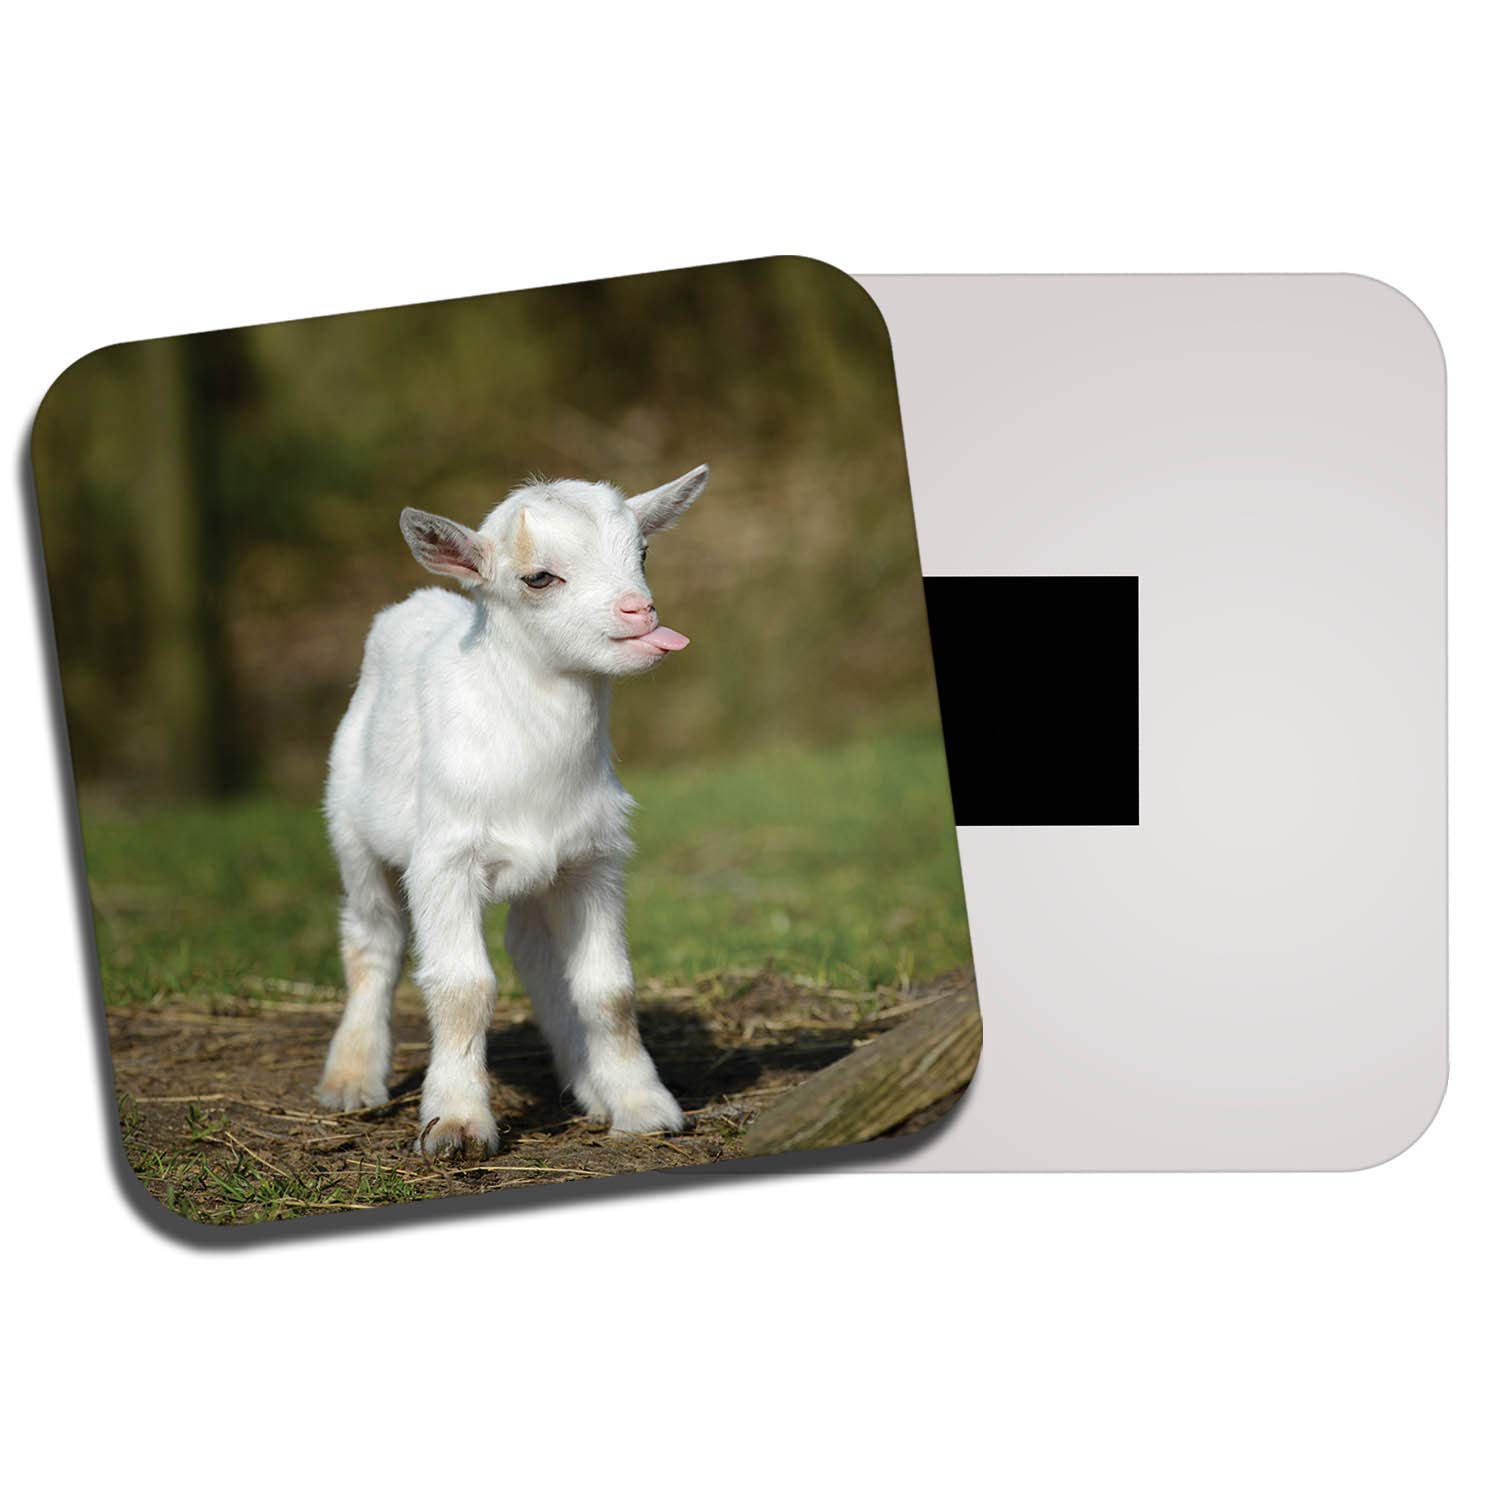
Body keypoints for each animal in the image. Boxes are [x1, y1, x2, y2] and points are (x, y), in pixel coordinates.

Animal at [316, 465, 709, 1158]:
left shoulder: (594, 859)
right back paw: (351, 1078)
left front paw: (641, 1104)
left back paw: (588, 1083)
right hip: (352, 834)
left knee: (533, 951)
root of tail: (422, 600)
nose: (639, 611)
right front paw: (456, 1124)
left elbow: (608, 989)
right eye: (539, 577)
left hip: (541, 874)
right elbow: (463, 987)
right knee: (373, 940)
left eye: (642, 553)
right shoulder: (444, 859)